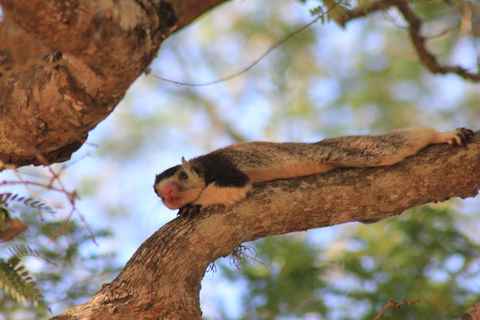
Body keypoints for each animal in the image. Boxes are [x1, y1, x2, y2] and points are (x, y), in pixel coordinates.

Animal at [153, 126, 472, 219]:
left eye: (182, 177)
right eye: (156, 193)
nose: (167, 194)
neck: (201, 168)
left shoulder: (223, 167)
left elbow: (235, 185)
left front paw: (194, 205)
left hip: (355, 151)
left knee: (397, 143)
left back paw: (441, 135)